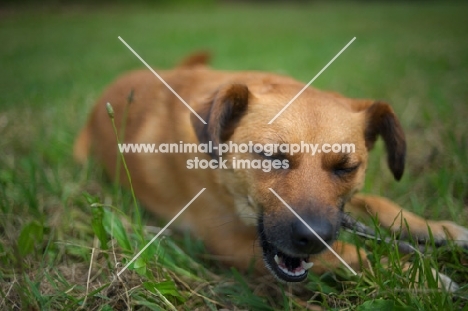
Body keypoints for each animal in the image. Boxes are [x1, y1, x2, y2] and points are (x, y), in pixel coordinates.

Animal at [74, 51, 468, 290]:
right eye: (271, 156)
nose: (314, 237)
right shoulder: (229, 245)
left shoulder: (339, 210)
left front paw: (439, 230)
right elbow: (350, 253)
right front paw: (416, 277)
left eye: (346, 167)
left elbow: (377, 203)